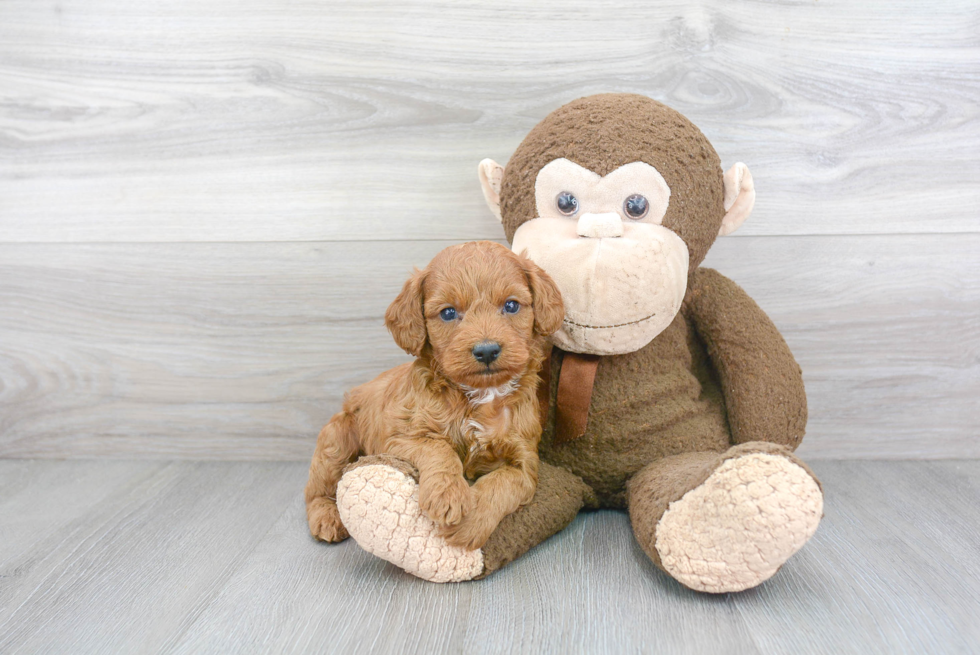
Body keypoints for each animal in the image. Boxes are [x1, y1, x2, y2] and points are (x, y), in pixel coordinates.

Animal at [306, 241, 568, 548]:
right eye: (448, 313)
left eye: (511, 305)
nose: (487, 350)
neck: (479, 396)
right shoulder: (398, 440)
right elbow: (439, 448)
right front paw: (448, 495)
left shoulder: (524, 461)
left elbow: (502, 483)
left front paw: (470, 522)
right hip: (337, 439)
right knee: (317, 489)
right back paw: (326, 517)